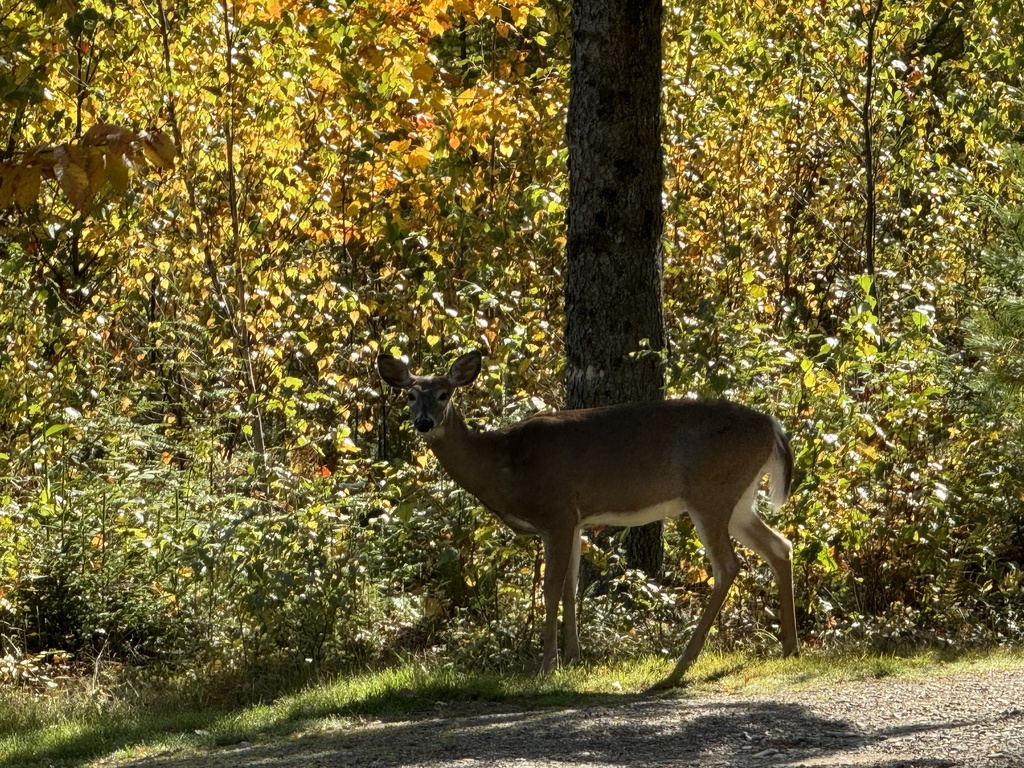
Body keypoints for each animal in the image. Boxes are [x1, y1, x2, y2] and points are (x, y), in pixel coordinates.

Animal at [377, 349, 798, 689]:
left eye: (445, 393)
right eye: (410, 395)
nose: (424, 423)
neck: (504, 463)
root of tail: (774, 428)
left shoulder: (557, 512)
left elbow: (550, 588)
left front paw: (546, 666)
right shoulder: (576, 520)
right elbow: (571, 587)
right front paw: (574, 659)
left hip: (710, 491)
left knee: (728, 565)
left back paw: (681, 664)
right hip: (739, 500)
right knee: (780, 545)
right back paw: (789, 648)